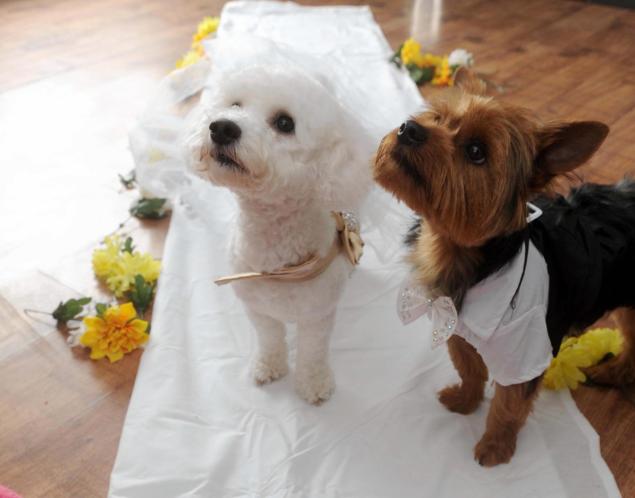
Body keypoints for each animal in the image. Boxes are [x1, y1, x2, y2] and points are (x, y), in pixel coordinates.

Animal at [186, 63, 372, 404]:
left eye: (285, 123)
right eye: (234, 105)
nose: (222, 128)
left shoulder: (317, 316)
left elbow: (312, 352)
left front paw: (313, 384)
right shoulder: (259, 311)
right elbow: (269, 340)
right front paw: (268, 367)